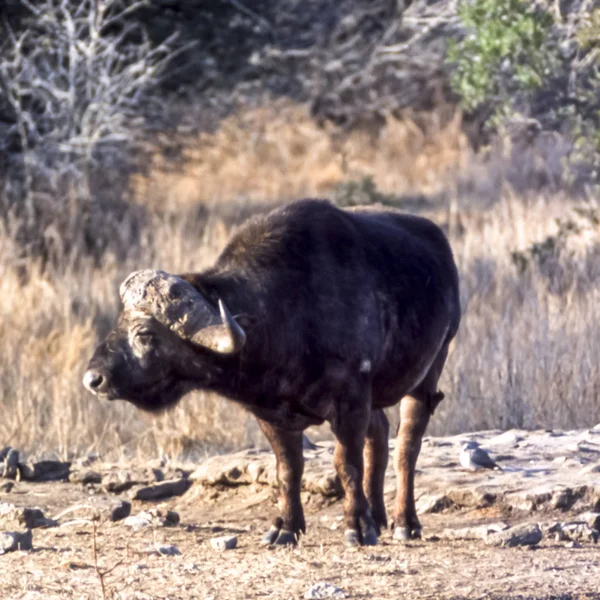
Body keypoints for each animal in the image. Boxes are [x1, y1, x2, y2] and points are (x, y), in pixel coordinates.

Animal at [83, 199, 460, 548]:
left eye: (144, 333)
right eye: (119, 322)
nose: (93, 379)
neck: (286, 312)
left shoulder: (351, 400)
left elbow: (346, 463)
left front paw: (357, 527)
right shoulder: (271, 415)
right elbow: (288, 469)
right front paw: (286, 528)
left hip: (428, 372)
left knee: (406, 447)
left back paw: (404, 523)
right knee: (380, 435)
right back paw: (379, 517)